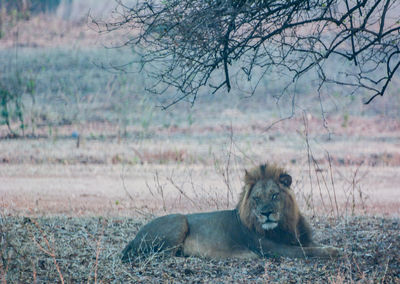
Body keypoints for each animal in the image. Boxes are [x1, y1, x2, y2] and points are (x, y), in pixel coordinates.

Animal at [122, 162, 340, 262]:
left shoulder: (300, 239)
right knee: (161, 255)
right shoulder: (272, 249)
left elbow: (313, 245)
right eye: (256, 198)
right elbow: (308, 251)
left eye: (274, 195)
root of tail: (134, 238)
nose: (266, 213)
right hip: (179, 220)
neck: (286, 224)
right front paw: (333, 251)